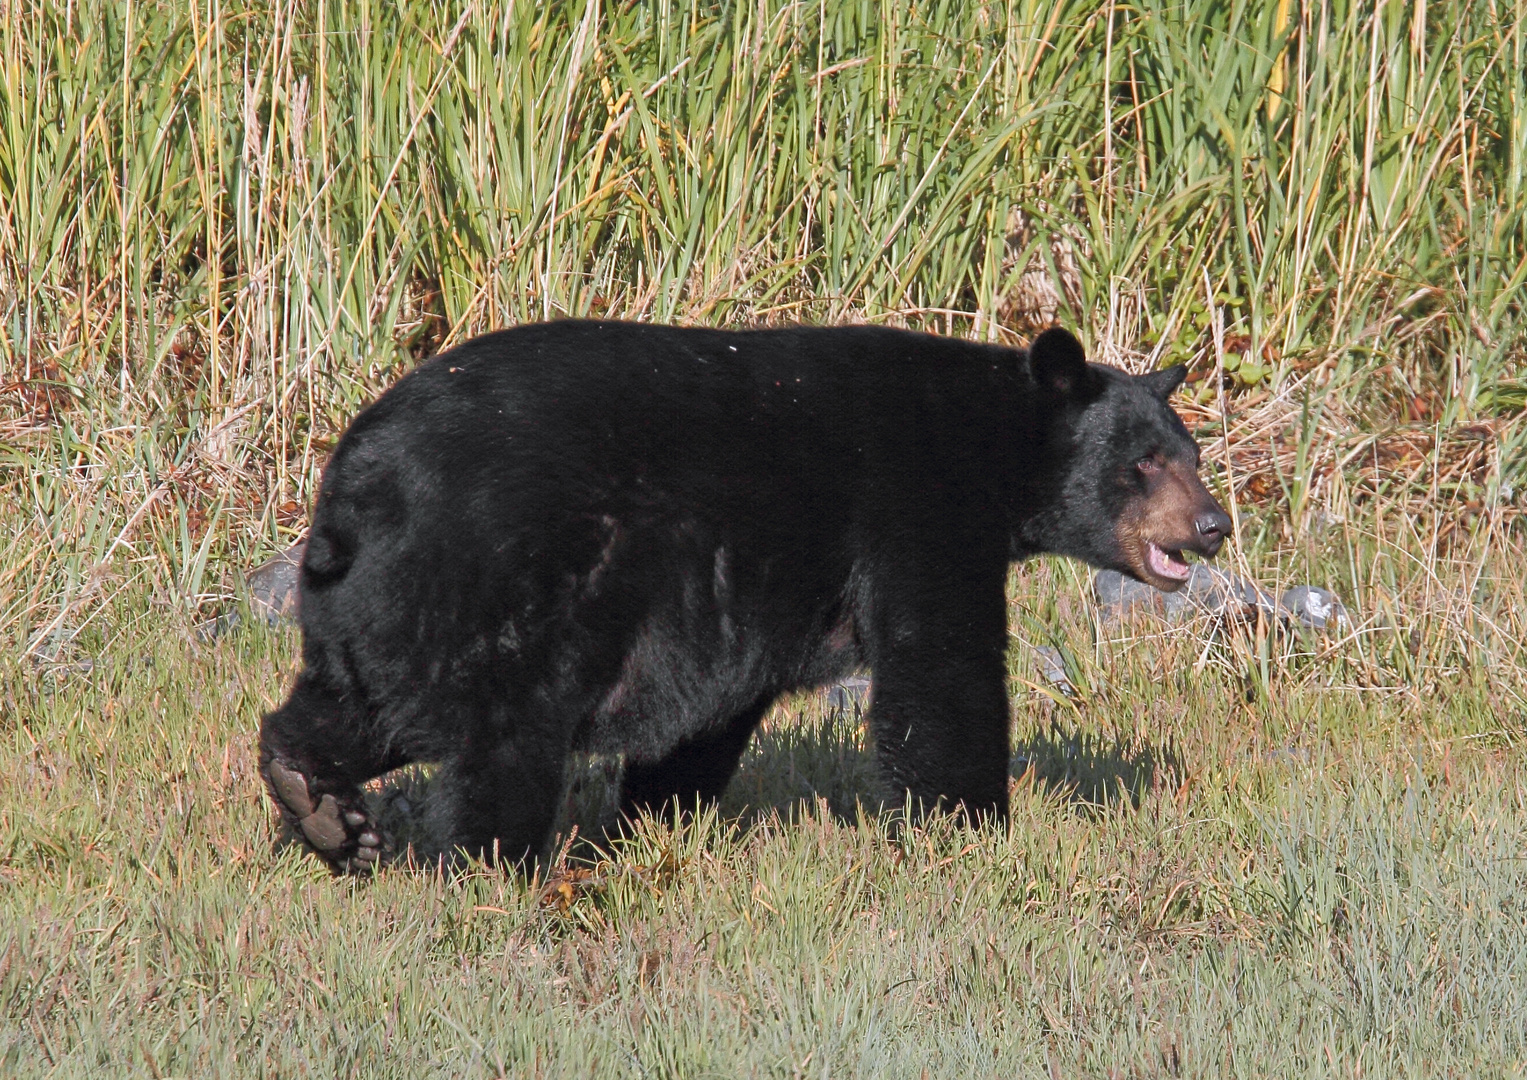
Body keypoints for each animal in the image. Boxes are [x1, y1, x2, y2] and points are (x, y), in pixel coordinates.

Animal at [253, 319, 1227, 867]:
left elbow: (713, 712)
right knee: (505, 736)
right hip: (497, 580)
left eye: (1191, 452)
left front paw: (659, 815)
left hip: (374, 606)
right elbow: (938, 668)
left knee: (352, 702)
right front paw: (972, 823)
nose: (1214, 524)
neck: (995, 444)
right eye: (1144, 462)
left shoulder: (743, 605)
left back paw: (319, 803)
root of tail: (352, 486)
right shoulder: (916, 510)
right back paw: (493, 865)